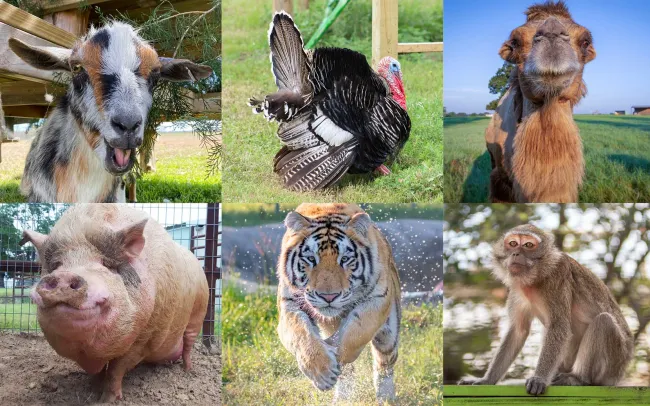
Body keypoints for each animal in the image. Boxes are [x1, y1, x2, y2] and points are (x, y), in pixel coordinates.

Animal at [19, 204, 209, 402]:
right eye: (56, 265)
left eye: (105, 264)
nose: (64, 276)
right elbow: (100, 372)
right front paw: (93, 390)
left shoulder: (145, 338)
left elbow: (116, 370)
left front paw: (107, 400)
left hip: (199, 312)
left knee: (188, 344)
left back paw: (188, 371)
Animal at [277, 203, 401, 403]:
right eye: (311, 259)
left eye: (344, 259)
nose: (329, 297)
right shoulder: (289, 305)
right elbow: (301, 335)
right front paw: (322, 372)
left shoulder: (378, 298)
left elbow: (356, 332)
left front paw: (336, 354)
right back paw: (343, 398)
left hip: (388, 335)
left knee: (384, 364)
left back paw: (386, 398)